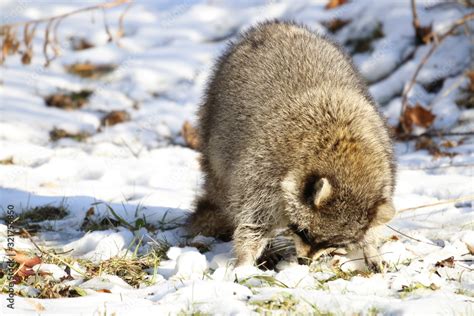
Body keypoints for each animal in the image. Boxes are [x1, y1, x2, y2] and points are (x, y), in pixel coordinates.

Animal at [187, 21, 394, 270]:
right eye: (303, 232)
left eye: (332, 243)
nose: (305, 262)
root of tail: (275, 26)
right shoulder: (264, 170)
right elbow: (253, 221)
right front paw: (245, 260)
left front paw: (371, 247)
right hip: (214, 127)